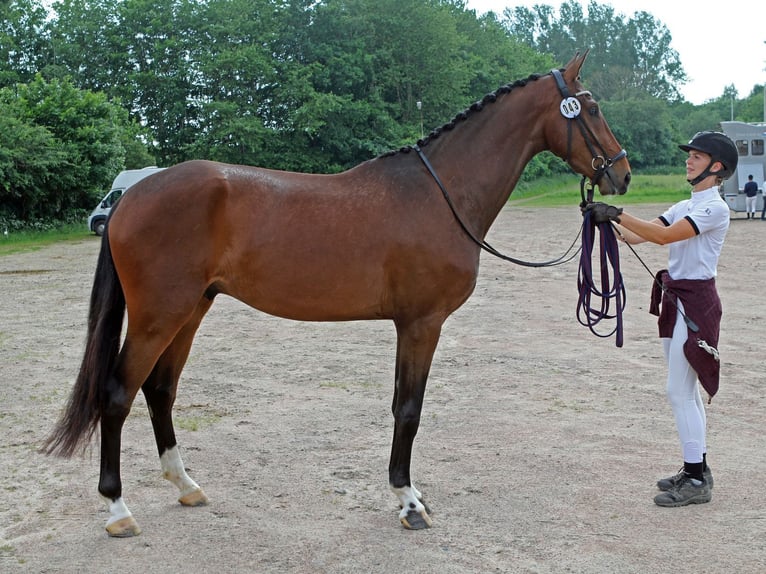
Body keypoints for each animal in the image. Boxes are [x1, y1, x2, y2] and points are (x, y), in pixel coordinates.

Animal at [43, 51, 632, 536]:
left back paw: (186, 486)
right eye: (592, 108)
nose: (622, 173)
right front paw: (408, 502)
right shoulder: (422, 323)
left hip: (190, 311)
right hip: (157, 316)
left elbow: (400, 404)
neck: (440, 194)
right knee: (117, 394)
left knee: (160, 390)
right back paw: (118, 510)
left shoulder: (410, 325)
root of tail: (131, 196)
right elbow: (408, 409)